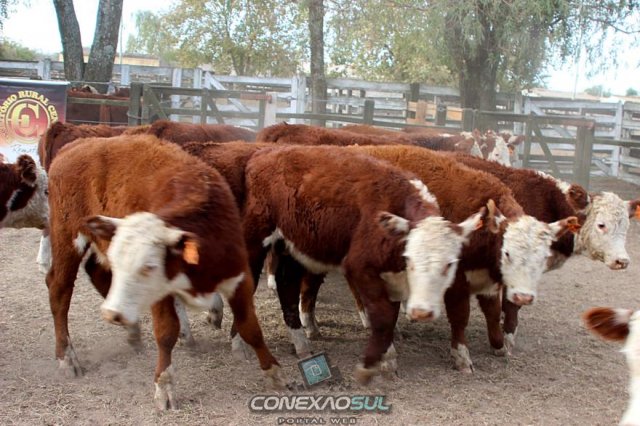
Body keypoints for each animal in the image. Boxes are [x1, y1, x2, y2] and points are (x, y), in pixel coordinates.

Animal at [45, 134, 282, 409]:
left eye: (148, 267)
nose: (111, 313)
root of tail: (76, 145)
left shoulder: (238, 277)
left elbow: (250, 327)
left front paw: (275, 373)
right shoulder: (161, 294)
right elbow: (167, 332)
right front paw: (165, 386)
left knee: (96, 273)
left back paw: (132, 330)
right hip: (67, 237)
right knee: (59, 290)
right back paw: (67, 357)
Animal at [241, 144, 484, 383]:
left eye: (450, 264)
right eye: (410, 259)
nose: (422, 312)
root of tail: (264, 154)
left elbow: (393, 318)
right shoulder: (362, 269)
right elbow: (383, 319)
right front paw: (385, 363)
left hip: (292, 247)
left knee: (288, 288)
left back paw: (301, 344)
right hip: (255, 239)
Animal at [453, 153, 640, 351]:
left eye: (626, 226)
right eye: (601, 224)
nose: (622, 261)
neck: (549, 203)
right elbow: (511, 304)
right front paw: (508, 338)